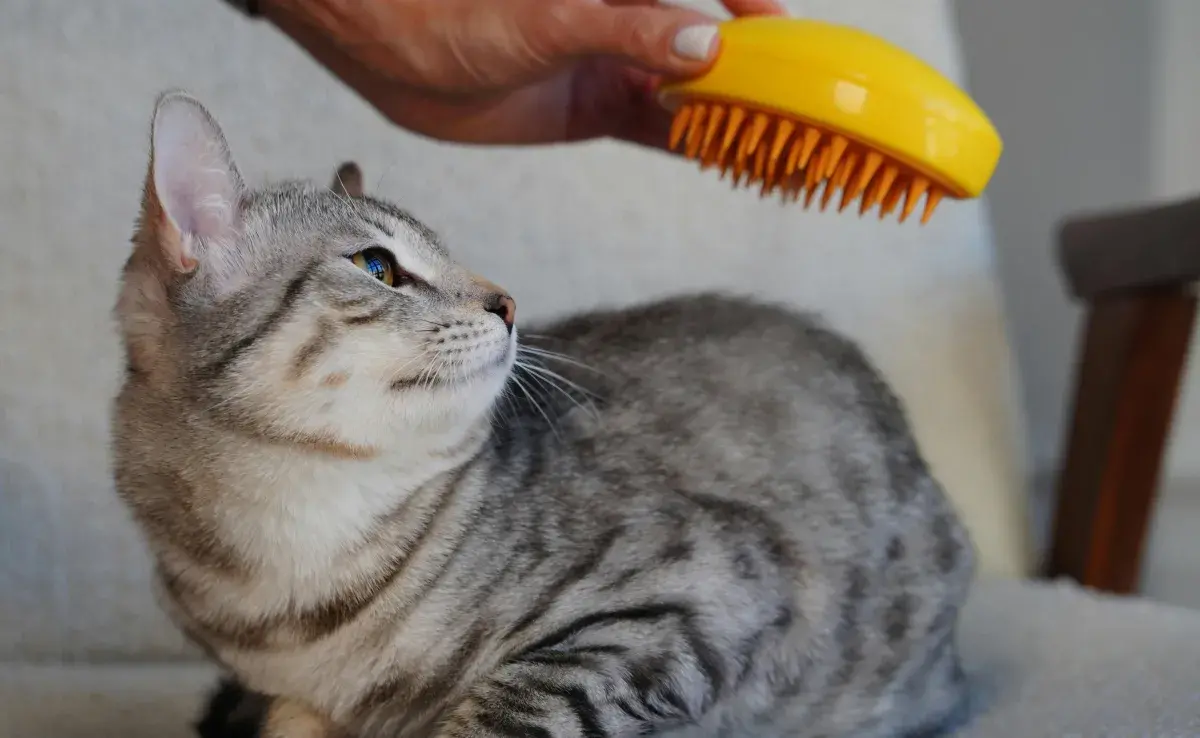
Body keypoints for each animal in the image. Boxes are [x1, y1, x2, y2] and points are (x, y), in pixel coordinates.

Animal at [112, 92, 974, 738]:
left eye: (451, 253)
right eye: (378, 266)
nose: (508, 302)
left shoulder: (703, 584)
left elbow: (515, 708)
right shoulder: (289, 698)